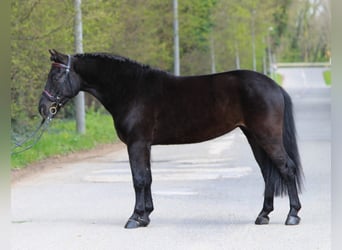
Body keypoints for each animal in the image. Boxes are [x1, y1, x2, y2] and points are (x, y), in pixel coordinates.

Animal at [38, 48, 304, 229]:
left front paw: (135, 218)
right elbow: (147, 178)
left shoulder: (136, 144)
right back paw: (263, 215)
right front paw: (146, 215)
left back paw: (292, 215)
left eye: (56, 75)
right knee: (268, 173)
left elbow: (139, 180)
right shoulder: (144, 145)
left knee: (286, 168)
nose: (43, 108)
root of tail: (274, 86)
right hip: (254, 137)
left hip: (267, 137)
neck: (131, 90)